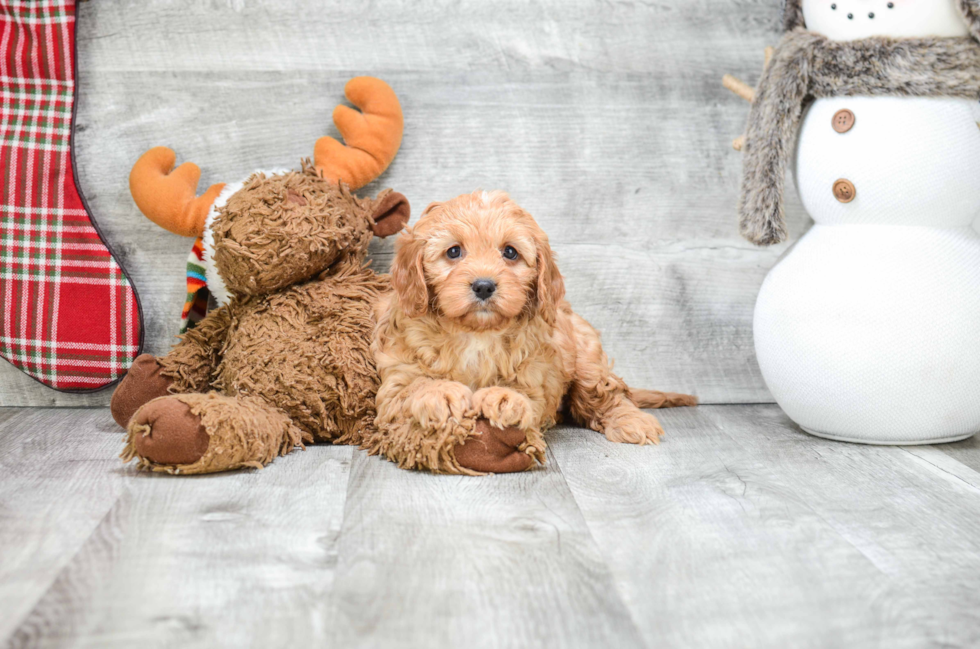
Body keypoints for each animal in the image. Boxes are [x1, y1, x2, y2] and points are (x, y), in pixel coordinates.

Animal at [368, 190, 696, 474]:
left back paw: (633, 421)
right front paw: (441, 393)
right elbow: (412, 386)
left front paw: (505, 398)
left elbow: (525, 394)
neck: (476, 332)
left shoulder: (537, 373)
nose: (484, 286)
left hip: (587, 362)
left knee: (608, 395)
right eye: (454, 251)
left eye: (510, 252)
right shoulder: (395, 379)